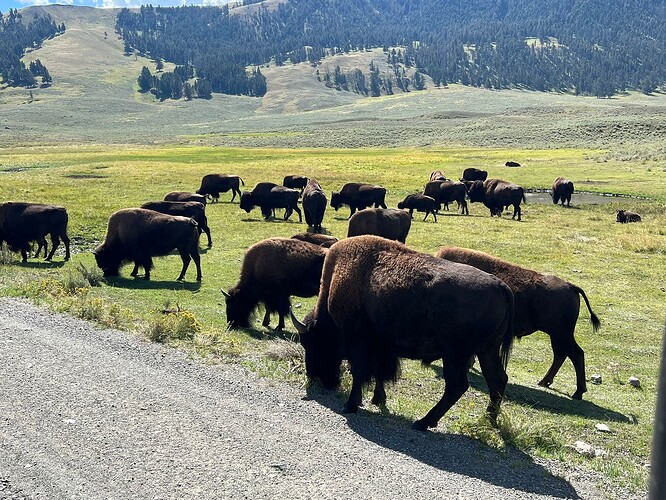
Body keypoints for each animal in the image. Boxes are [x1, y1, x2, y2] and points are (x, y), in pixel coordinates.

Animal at [291, 235, 514, 429]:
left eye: (312, 343)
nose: (315, 377)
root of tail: (501, 286)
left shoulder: (358, 341)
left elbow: (360, 370)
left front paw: (351, 404)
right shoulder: (379, 345)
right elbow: (378, 372)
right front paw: (377, 399)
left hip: (455, 353)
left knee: (457, 385)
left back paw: (423, 422)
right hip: (487, 350)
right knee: (497, 380)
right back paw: (488, 420)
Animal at [437, 246, 601, 400]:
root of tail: (571, 286)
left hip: (561, 334)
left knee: (575, 354)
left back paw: (577, 392)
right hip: (557, 335)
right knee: (561, 354)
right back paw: (544, 382)